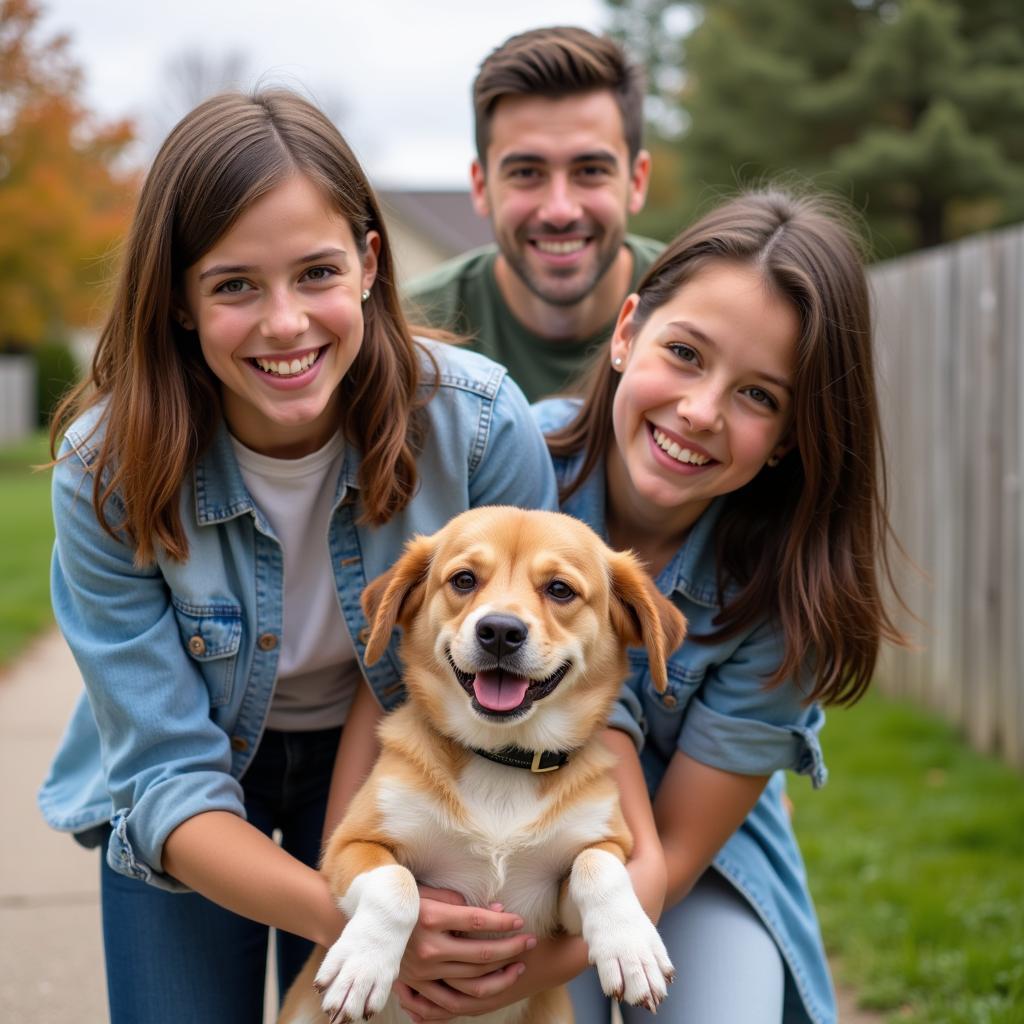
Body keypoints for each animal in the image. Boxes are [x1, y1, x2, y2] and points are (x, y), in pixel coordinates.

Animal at [278, 505, 688, 1024]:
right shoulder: (348, 846)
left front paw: (633, 949)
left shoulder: (583, 874)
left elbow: (599, 866)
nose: (499, 632)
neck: (502, 760)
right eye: (464, 579)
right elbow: (395, 885)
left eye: (560, 589)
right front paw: (362, 965)